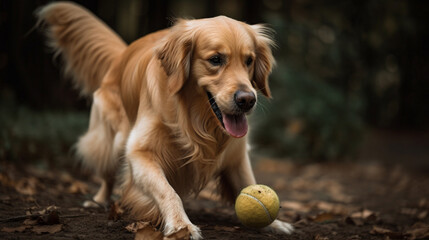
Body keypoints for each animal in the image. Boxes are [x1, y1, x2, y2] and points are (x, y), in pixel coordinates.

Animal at [37, 1, 290, 238]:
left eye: (249, 60)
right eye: (216, 59)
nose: (247, 100)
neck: (195, 120)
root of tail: (122, 53)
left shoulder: (237, 154)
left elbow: (248, 181)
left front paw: (275, 223)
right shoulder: (139, 151)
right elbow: (167, 190)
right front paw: (181, 225)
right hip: (113, 139)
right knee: (107, 173)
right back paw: (98, 199)